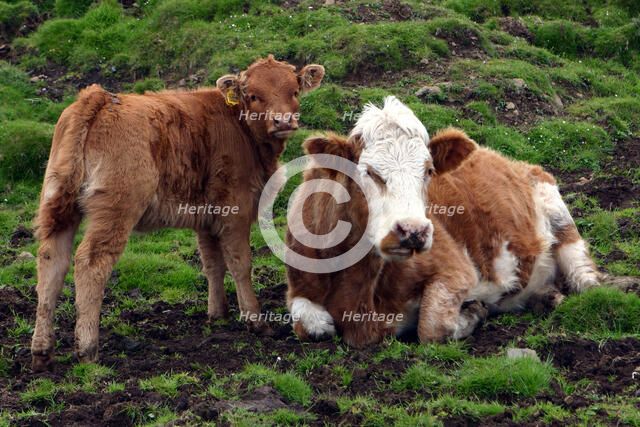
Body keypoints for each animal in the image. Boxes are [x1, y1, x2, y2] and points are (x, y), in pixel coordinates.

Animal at [30, 55, 325, 370]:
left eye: (294, 91)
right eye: (254, 95)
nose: (283, 121)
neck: (239, 126)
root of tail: (99, 98)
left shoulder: (207, 216)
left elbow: (213, 263)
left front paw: (217, 313)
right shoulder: (236, 209)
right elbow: (240, 263)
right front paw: (255, 319)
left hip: (58, 205)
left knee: (52, 260)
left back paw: (42, 349)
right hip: (115, 210)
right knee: (90, 263)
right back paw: (87, 348)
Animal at [285, 96, 599, 347]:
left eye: (428, 170)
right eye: (371, 172)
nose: (413, 231)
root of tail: (507, 159)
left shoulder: (457, 269)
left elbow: (432, 326)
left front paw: (473, 312)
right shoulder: (299, 285)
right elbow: (308, 323)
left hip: (556, 208)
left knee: (582, 273)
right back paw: (544, 298)